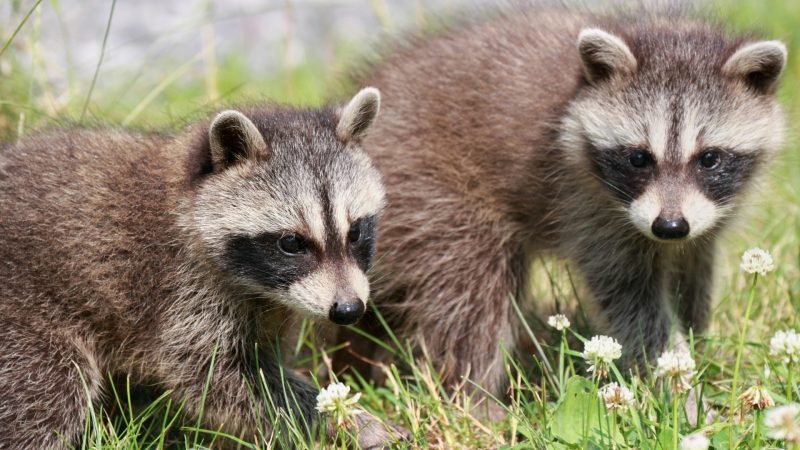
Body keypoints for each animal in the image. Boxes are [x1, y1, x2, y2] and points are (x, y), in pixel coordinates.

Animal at [0, 89, 398, 448]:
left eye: (356, 232)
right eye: (291, 243)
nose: (349, 310)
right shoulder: (184, 293)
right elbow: (215, 379)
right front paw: (336, 421)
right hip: (24, 328)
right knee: (50, 393)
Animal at [346, 7, 792, 400]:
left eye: (709, 158)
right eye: (639, 158)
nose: (668, 227)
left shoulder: (702, 217)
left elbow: (694, 271)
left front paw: (696, 339)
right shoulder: (583, 200)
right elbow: (630, 296)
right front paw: (676, 380)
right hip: (432, 195)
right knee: (472, 298)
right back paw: (477, 400)